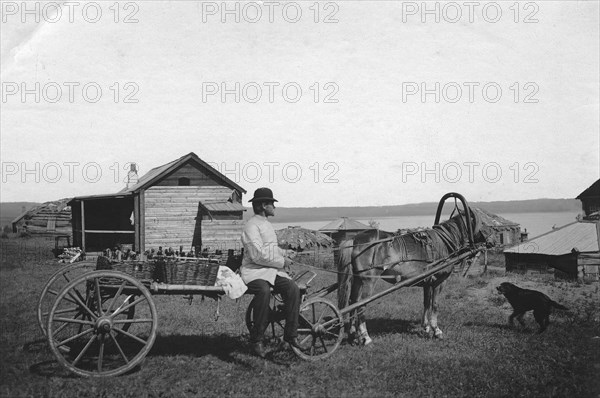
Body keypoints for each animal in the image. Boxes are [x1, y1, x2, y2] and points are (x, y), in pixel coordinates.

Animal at [336, 208, 494, 346]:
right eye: (483, 223)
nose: (493, 241)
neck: (443, 243)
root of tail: (354, 239)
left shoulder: (428, 282)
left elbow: (426, 303)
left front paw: (426, 327)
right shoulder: (439, 282)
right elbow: (435, 304)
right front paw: (436, 330)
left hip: (357, 279)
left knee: (352, 302)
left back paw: (353, 336)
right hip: (368, 280)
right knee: (361, 305)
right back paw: (366, 337)